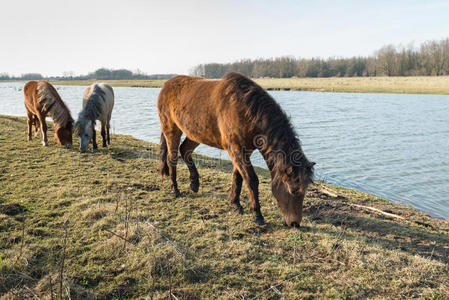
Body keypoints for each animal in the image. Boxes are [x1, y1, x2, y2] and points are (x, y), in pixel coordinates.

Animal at [158, 73, 316, 227]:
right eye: (293, 190)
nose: (295, 223)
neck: (246, 111)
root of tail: (166, 85)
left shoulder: (243, 151)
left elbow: (238, 177)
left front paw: (236, 205)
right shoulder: (236, 150)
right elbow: (251, 180)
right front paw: (257, 215)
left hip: (195, 134)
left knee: (185, 150)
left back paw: (194, 183)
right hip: (171, 129)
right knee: (172, 158)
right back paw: (175, 189)